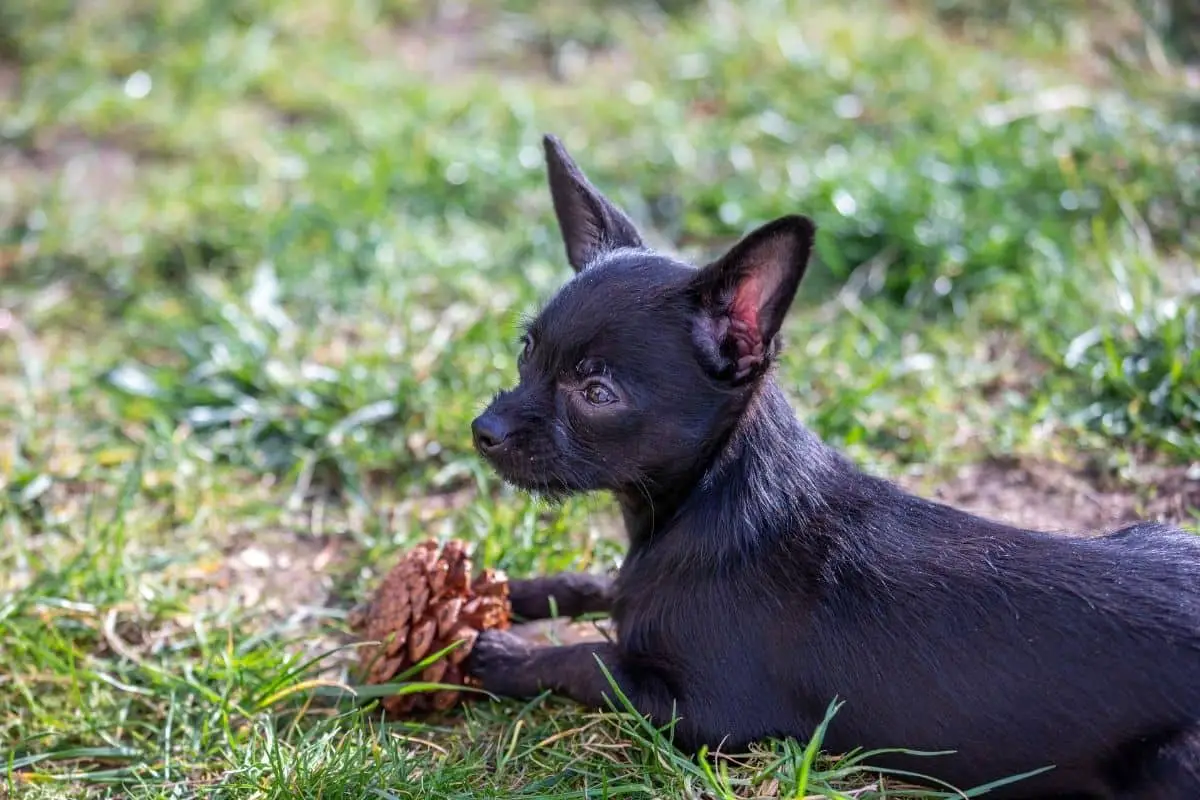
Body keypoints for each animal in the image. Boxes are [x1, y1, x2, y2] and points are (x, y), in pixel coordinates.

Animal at [460, 136, 1200, 800]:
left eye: (596, 393)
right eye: (526, 350)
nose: (482, 430)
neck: (707, 497)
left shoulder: (706, 716)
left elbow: (591, 662)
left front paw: (499, 654)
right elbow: (592, 583)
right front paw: (504, 589)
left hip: (1173, 763)